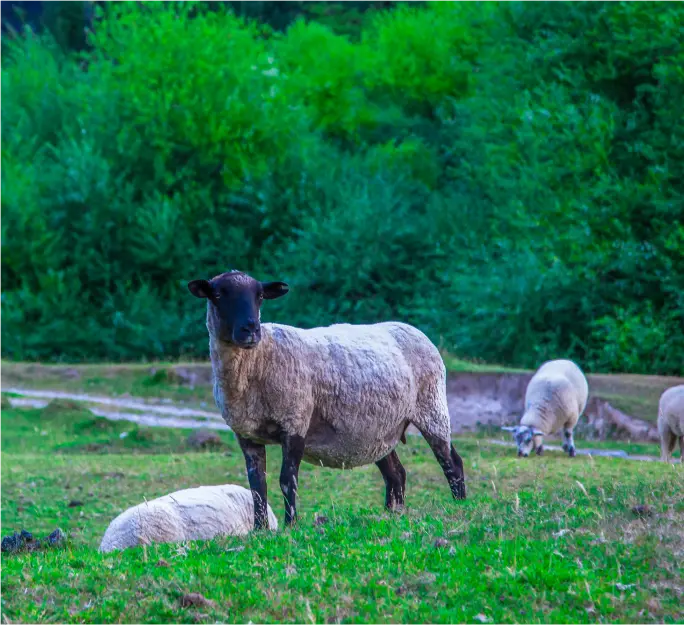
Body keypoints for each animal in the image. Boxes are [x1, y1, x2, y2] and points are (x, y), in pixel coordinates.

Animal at [187, 270, 466, 530]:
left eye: (260, 296)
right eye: (218, 295)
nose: (251, 330)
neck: (256, 363)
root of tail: (414, 330)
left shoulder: (295, 421)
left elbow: (287, 480)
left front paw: (291, 525)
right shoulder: (247, 435)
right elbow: (257, 486)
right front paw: (259, 530)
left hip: (431, 407)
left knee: (452, 462)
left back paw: (459, 506)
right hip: (378, 430)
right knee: (396, 474)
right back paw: (392, 515)